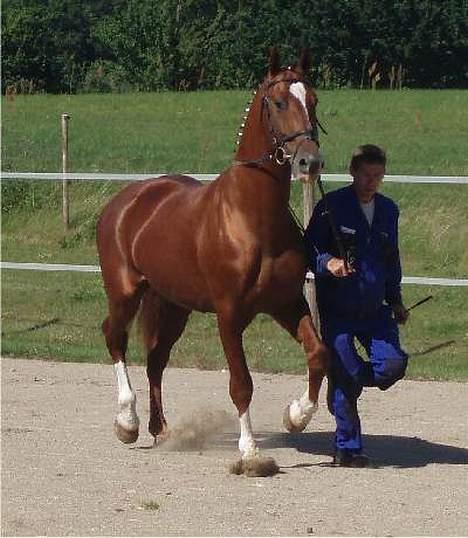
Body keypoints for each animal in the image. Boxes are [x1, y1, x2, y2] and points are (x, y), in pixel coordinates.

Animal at [95, 49, 330, 456]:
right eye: (279, 102)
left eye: (313, 100)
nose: (309, 162)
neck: (252, 219)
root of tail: (125, 201)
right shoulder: (229, 314)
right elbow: (241, 383)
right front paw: (249, 450)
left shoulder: (286, 303)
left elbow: (317, 354)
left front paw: (296, 416)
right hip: (125, 293)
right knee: (115, 338)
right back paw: (127, 423)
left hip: (174, 305)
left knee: (156, 359)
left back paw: (160, 430)